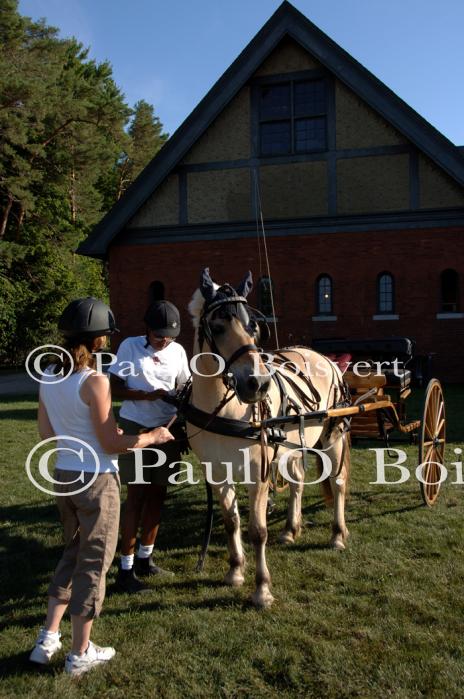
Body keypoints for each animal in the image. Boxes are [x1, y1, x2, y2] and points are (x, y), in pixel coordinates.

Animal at [185, 268, 348, 608]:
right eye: (217, 327)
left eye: (254, 327)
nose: (257, 384)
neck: (226, 408)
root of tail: (325, 359)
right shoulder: (216, 471)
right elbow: (231, 521)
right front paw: (235, 571)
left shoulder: (256, 473)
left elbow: (257, 530)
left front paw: (262, 589)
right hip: (293, 447)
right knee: (298, 482)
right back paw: (290, 530)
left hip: (333, 438)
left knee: (338, 484)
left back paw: (338, 535)